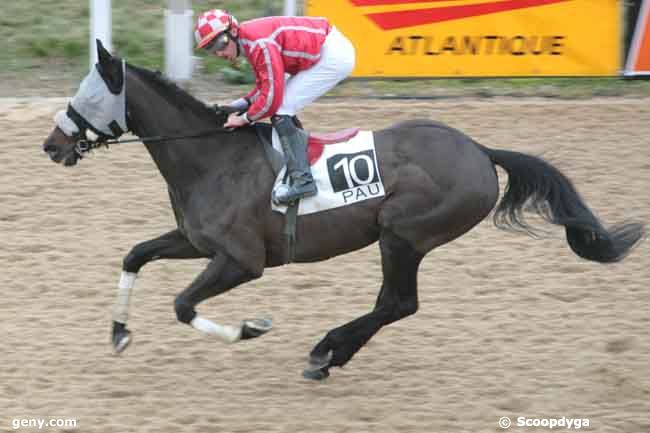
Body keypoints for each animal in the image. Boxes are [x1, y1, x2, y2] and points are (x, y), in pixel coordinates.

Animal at [41, 40, 644, 378]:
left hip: (403, 234)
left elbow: (183, 306)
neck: (210, 156)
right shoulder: (195, 241)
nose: (51, 145)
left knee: (399, 303)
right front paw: (119, 333)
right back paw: (331, 355)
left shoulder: (241, 261)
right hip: (403, 238)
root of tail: (479, 150)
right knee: (394, 304)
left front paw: (253, 327)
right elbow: (134, 255)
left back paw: (326, 350)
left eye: (88, 94)